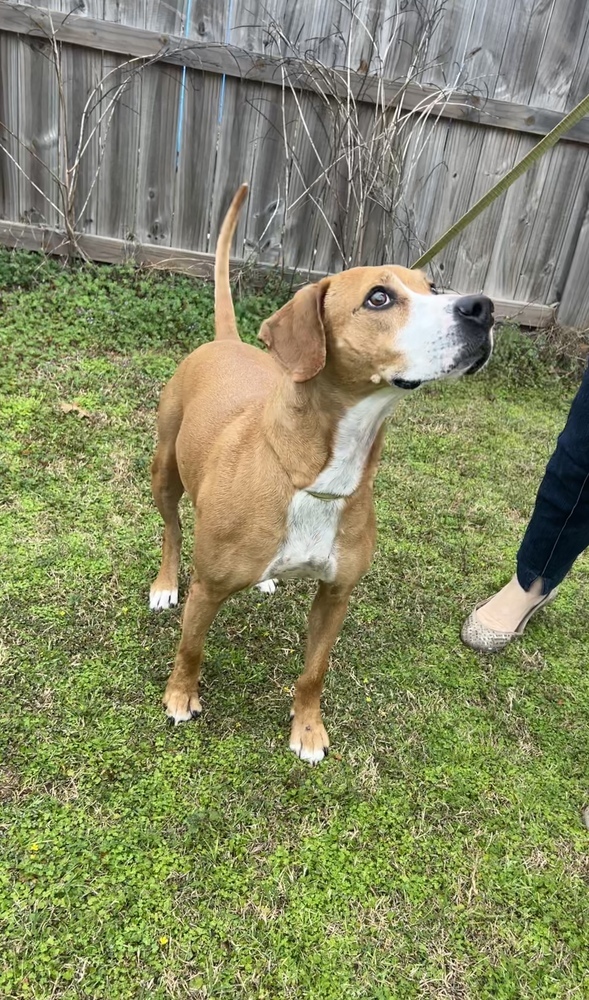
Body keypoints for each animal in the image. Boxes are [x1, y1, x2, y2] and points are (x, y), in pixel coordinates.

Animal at [150, 186, 492, 764]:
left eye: (433, 288)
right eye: (378, 298)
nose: (483, 308)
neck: (318, 473)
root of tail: (227, 341)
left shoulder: (336, 595)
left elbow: (315, 671)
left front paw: (307, 728)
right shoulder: (210, 588)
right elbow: (191, 645)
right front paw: (180, 696)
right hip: (164, 471)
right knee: (172, 527)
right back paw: (165, 583)